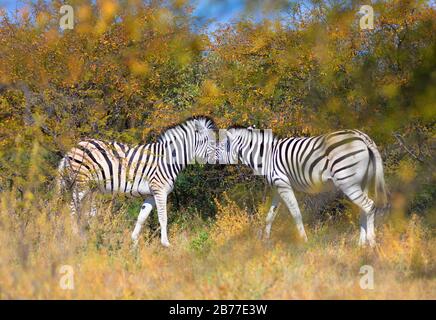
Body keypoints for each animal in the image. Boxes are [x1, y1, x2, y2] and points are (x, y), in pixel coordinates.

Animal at [57, 116, 217, 246]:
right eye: (208, 141)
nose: (216, 161)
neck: (168, 159)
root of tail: (72, 149)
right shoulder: (160, 190)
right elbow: (163, 217)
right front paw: (166, 244)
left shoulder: (151, 194)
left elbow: (141, 218)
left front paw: (133, 242)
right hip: (81, 184)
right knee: (72, 209)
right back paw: (75, 236)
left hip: (90, 187)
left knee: (86, 212)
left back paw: (89, 234)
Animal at [218, 126, 388, 246]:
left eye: (219, 147)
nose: (217, 165)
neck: (266, 156)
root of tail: (362, 137)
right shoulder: (278, 188)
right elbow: (270, 216)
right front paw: (265, 241)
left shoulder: (283, 184)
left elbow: (296, 213)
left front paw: (304, 241)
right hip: (361, 182)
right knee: (363, 209)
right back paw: (361, 244)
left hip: (347, 181)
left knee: (369, 206)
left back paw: (371, 244)